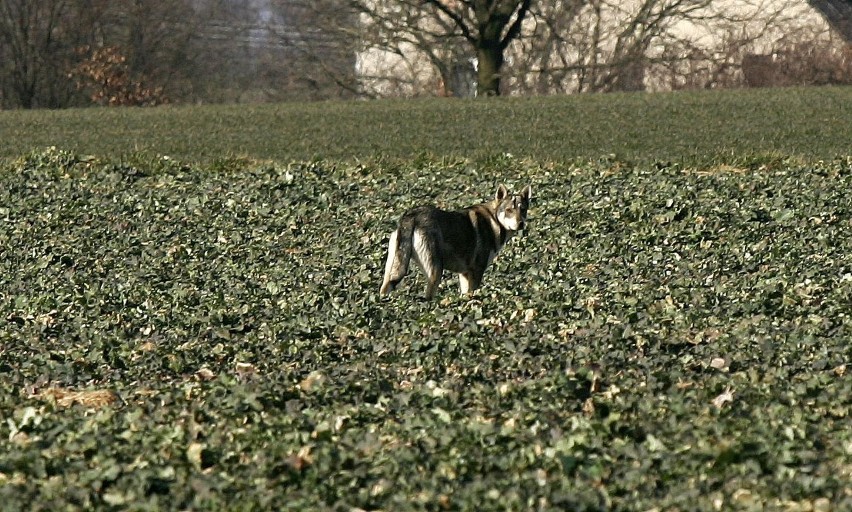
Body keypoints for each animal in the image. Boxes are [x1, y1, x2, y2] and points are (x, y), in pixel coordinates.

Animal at [382, 183, 532, 300]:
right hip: (435, 273)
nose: (521, 224)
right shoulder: (476, 272)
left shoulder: (464, 274)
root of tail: (411, 215)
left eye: (523, 210)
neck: (494, 220)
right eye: (509, 210)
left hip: (392, 271)